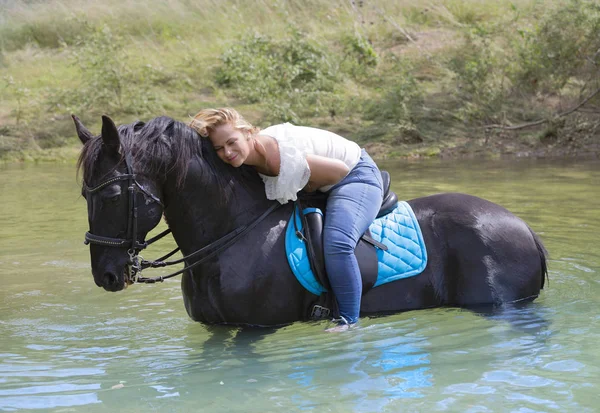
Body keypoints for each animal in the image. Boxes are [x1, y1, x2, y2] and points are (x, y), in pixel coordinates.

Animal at [74, 115, 548, 326]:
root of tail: (525, 227)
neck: (230, 236)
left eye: (112, 194)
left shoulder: (254, 330)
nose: (106, 276)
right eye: (84, 194)